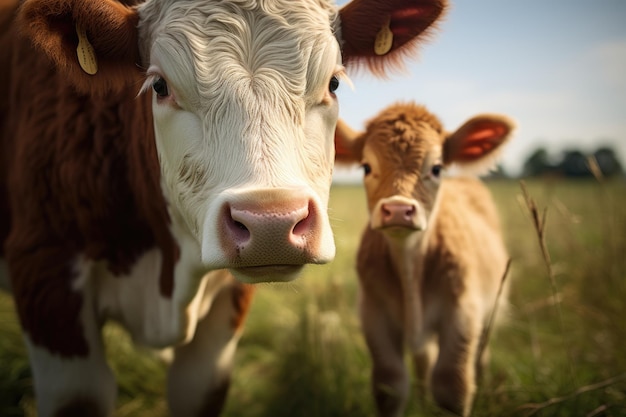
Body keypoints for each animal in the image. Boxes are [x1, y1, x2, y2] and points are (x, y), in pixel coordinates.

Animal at [334, 101, 516, 416]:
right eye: (367, 167)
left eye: (437, 168)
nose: (397, 209)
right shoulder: (373, 313)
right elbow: (390, 384)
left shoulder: (462, 312)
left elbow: (452, 384)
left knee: (481, 354)